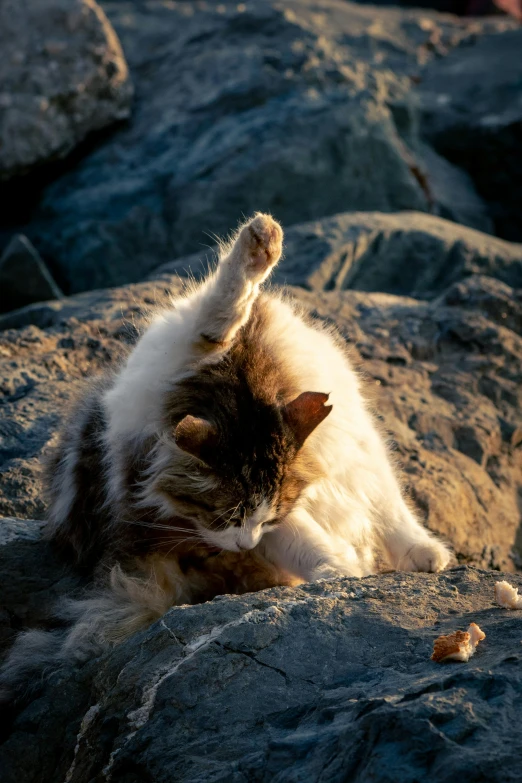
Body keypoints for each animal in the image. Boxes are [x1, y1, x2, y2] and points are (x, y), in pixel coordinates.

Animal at [0, 213, 446, 700]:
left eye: (267, 515)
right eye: (220, 517)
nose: (245, 542)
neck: (244, 378)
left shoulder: (354, 448)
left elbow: (391, 511)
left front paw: (425, 554)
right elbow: (213, 323)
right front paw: (343, 571)